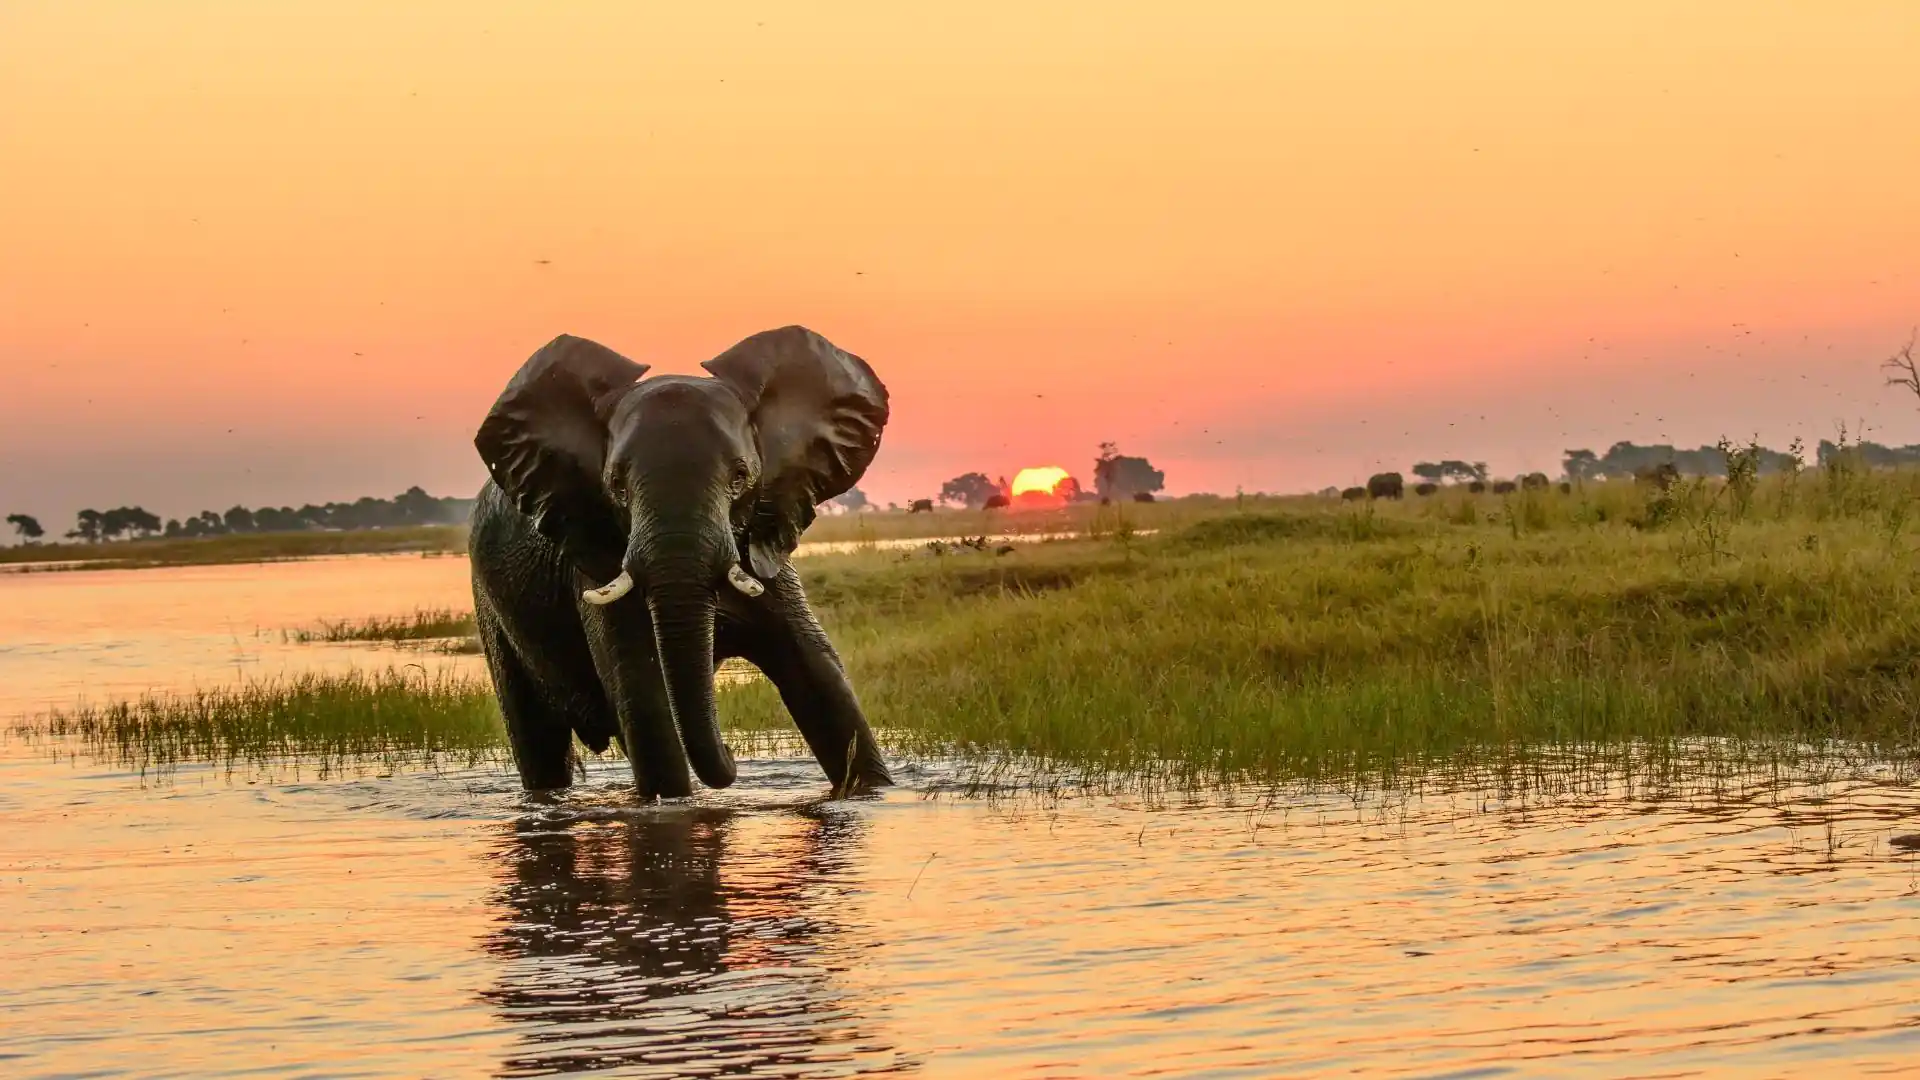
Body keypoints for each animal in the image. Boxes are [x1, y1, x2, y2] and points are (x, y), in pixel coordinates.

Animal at [464, 322, 890, 795]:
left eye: (740, 476)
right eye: (617, 486)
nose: (734, 758)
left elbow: (820, 679)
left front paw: (873, 792)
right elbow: (646, 700)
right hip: (490, 608)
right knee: (537, 739)